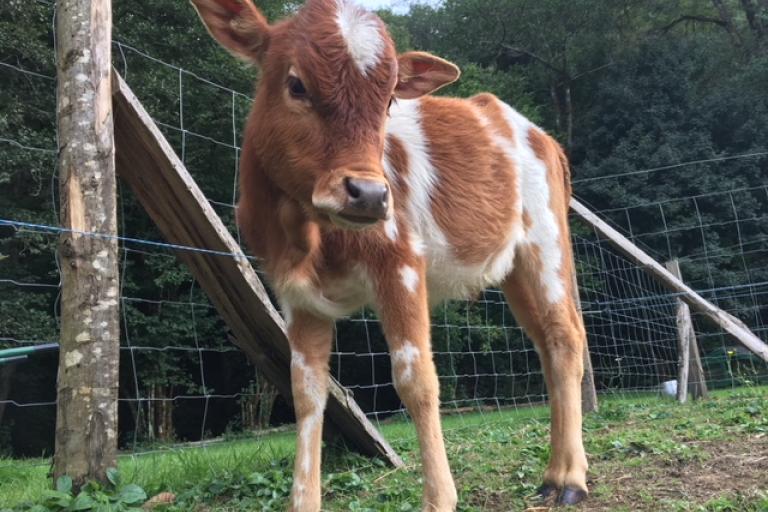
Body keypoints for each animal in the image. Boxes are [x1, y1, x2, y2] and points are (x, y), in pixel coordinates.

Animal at [195, 0, 592, 508]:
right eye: (296, 84)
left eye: (387, 102)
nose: (368, 194)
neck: (310, 240)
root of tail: (541, 135)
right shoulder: (296, 294)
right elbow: (307, 391)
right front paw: (303, 500)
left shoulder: (400, 263)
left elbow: (415, 378)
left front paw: (440, 498)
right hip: (513, 270)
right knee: (544, 343)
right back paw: (554, 474)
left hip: (546, 241)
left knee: (565, 337)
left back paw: (571, 479)